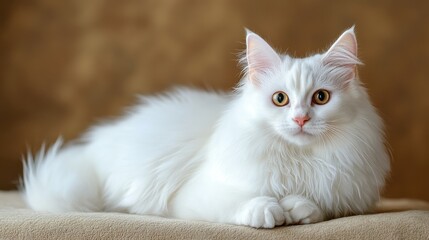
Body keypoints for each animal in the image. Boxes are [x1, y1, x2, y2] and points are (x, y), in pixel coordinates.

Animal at [25, 27, 390, 228]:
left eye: (321, 98)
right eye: (281, 99)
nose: (300, 119)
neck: (298, 160)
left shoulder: (342, 191)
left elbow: (317, 207)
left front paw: (297, 208)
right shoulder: (192, 193)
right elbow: (240, 200)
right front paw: (268, 210)